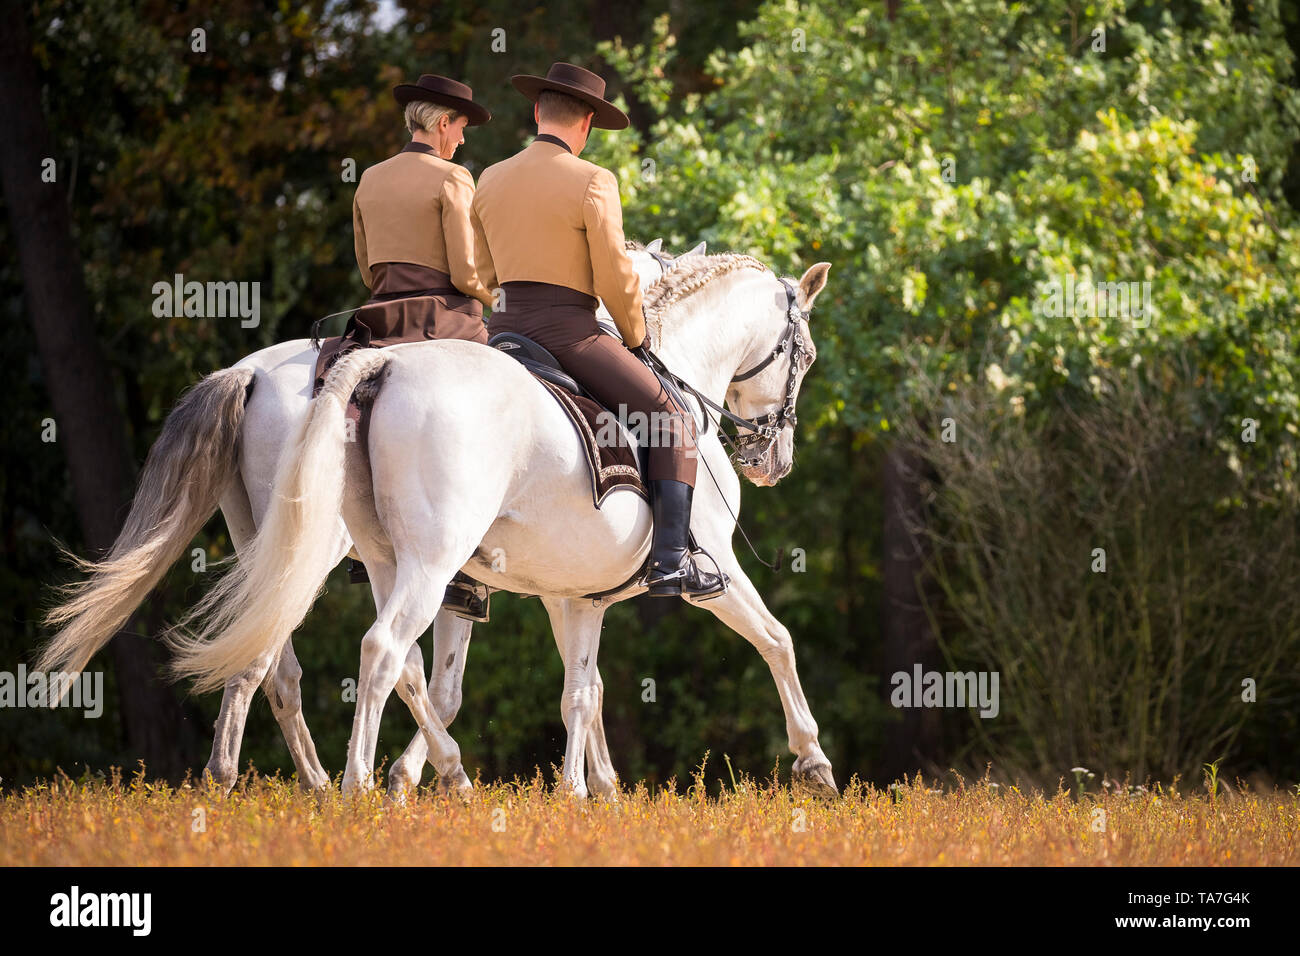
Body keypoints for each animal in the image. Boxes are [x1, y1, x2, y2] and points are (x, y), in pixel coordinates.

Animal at [36, 243, 692, 795]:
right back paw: (319, 783)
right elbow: (493, 687)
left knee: (274, 660)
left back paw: (290, 781)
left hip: (283, 553)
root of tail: (251, 372)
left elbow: (458, 683)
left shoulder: (499, 590)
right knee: (329, 654)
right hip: (346, 557)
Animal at [167, 253, 837, 799]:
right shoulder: (716, 568)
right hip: (404, 562)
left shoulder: (571, 596)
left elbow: (577, 690)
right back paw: (347, 788)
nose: (774, 461)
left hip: (364, 560)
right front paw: (814, 762)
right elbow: (778, 640)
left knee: (311, 658)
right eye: (805, 355)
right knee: (368, 652)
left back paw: (269, 780)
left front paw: (590, 790)